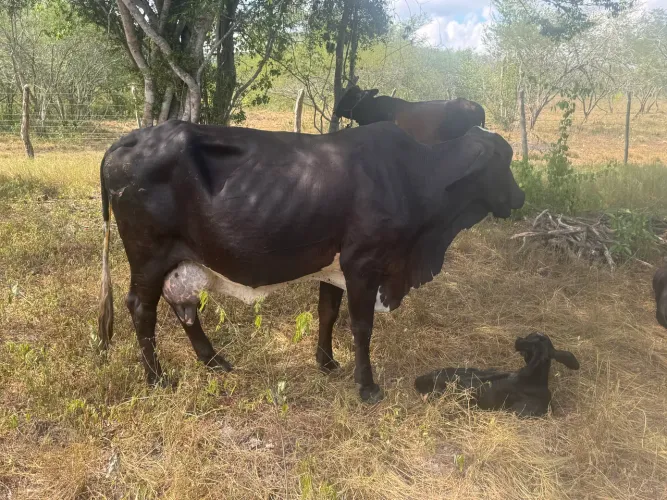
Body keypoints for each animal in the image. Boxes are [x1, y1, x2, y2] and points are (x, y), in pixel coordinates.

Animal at [97, 120, 525, 403]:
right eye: (502, 160)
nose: (518, 198)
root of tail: (129, 139)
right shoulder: (363, 263)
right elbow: (361, 326)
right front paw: (367, 386)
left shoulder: (334, 268)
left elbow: (327, 313)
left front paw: (327, 363)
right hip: (148, 255)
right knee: (141, 308)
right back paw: (157, 379)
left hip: (180, 261)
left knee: (183, 305)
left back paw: (215, 361)